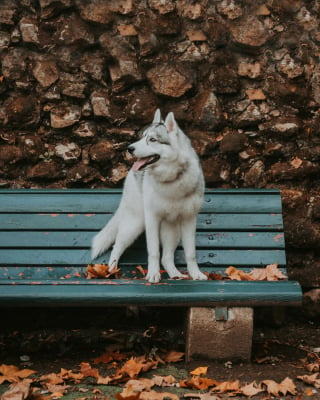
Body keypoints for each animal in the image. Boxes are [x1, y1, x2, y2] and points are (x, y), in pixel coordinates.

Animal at [91, 109, 209, 282]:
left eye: (152, 139)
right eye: (143, 137)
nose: (129, 148)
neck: (172, 179)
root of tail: (130, 173)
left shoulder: (189, 220)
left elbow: (190, 253)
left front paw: (195, 274)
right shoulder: (152, 219)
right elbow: (153, 252)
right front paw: (153, 274)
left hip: (172, 231)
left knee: (166, 257)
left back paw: (175, 274)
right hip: (135, 224)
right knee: (117, 246)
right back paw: (111, 271)